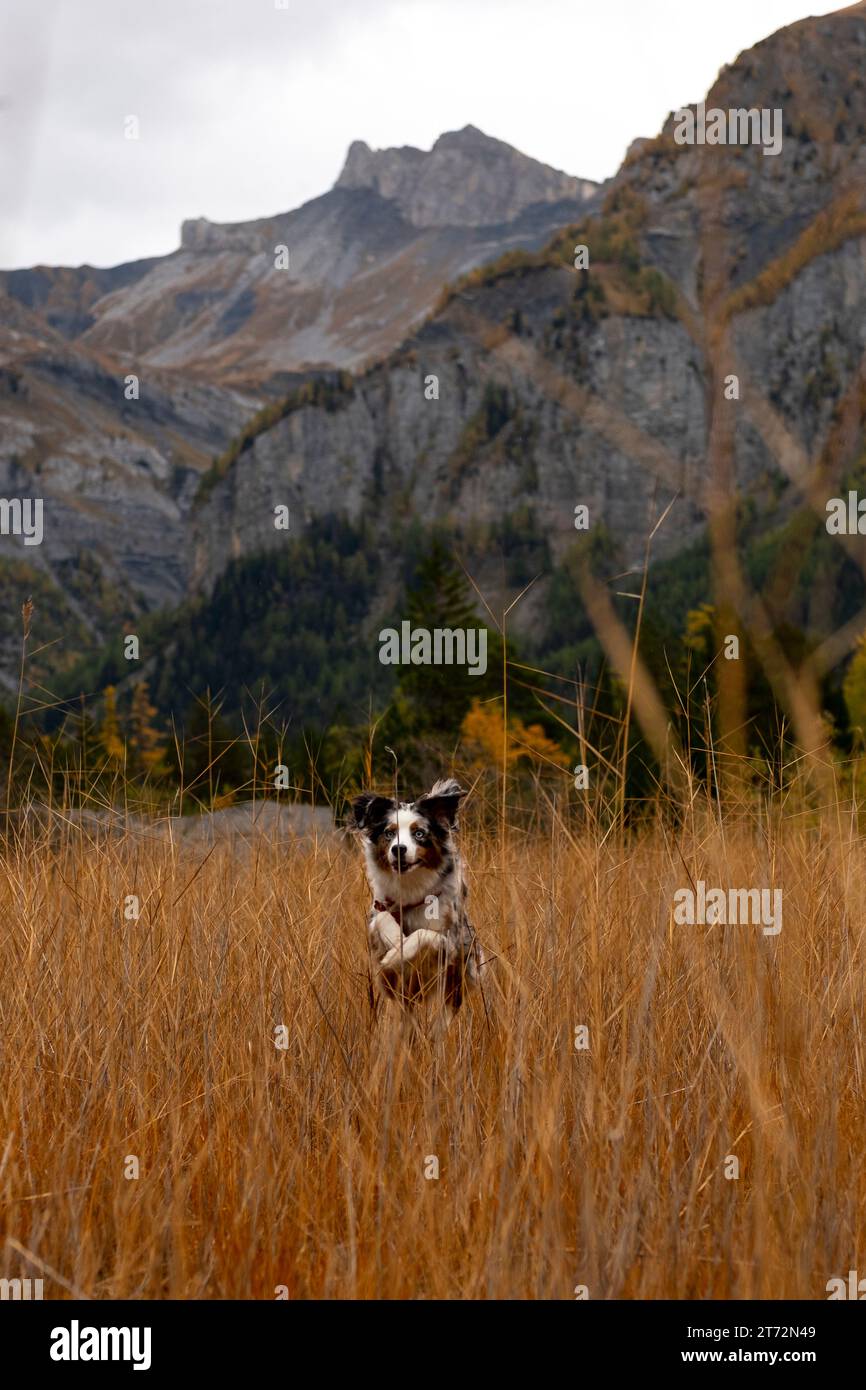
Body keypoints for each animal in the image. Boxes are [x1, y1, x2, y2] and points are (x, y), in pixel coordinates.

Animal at [353, 783, 489, 1011]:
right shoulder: (379, 908)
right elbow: (383, 919)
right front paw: (395, 940)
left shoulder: (450, 942)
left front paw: (396, 954)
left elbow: (424, 934)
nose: (398, 849)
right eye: (389, 833)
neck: (411, 886)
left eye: (418, 833)